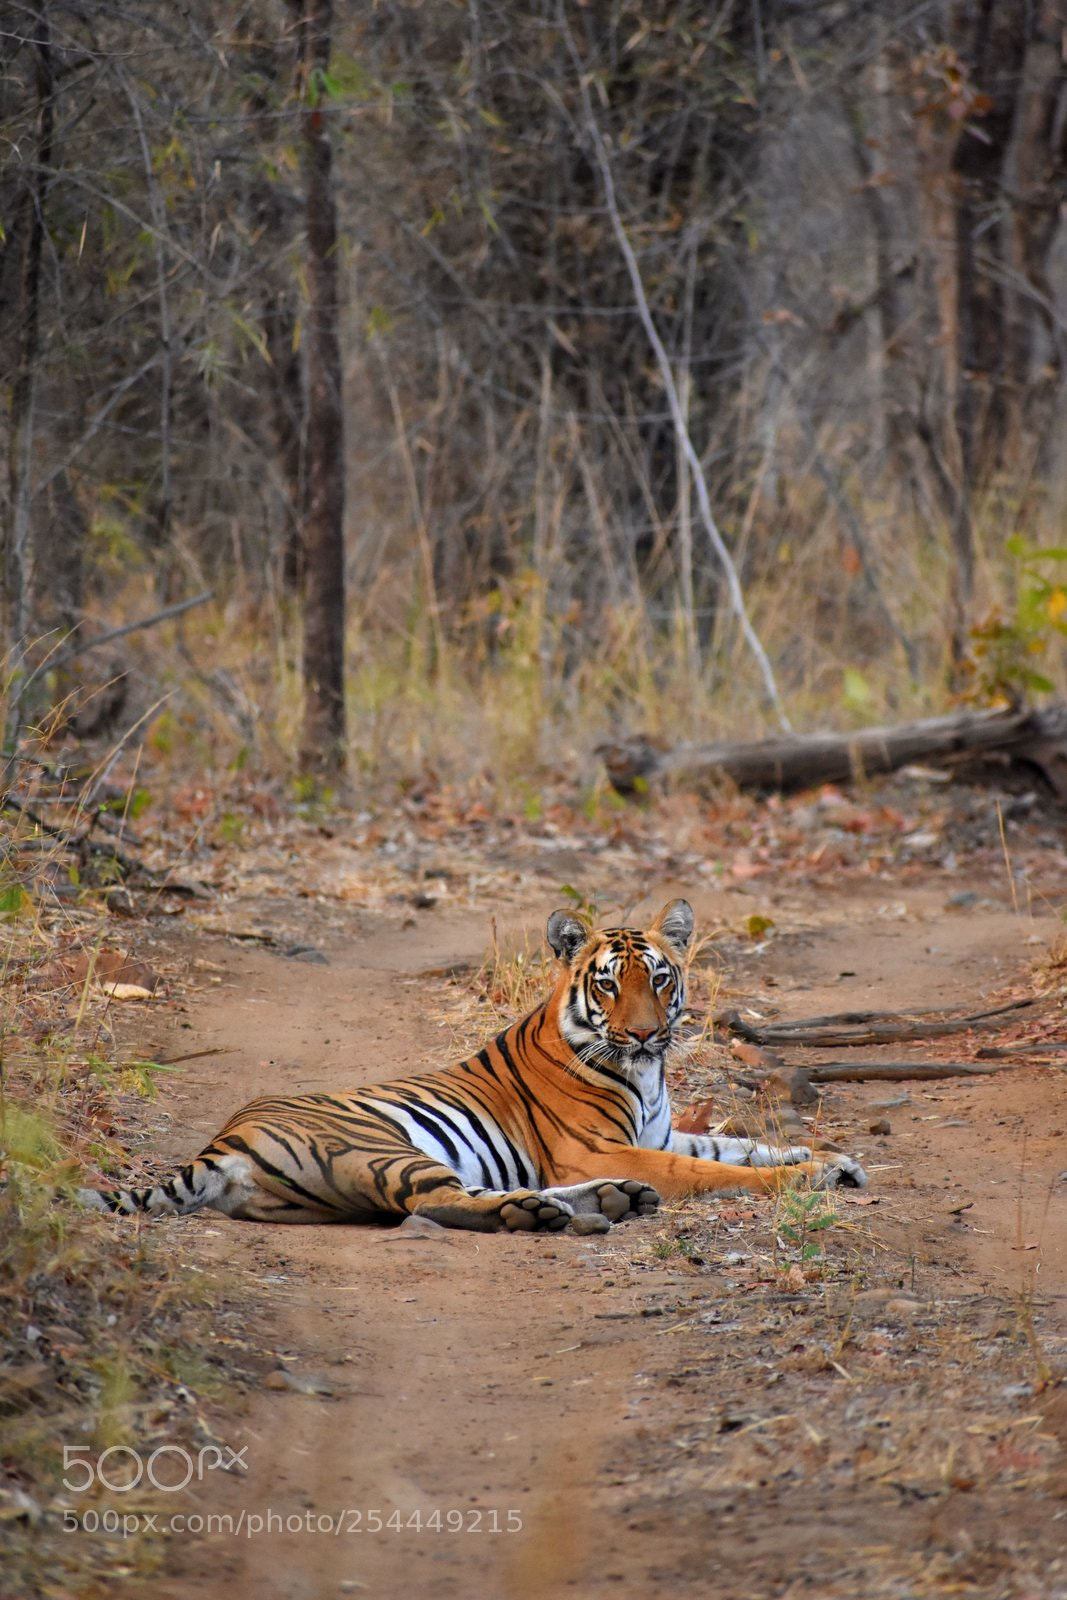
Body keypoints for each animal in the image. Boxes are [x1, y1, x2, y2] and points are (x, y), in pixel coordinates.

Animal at [78, 898, 867, 1234]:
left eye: (660, 977)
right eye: (610, 984)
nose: (645, 1034)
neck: (647, 1075)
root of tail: (221, 1142)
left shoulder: (658, 1133)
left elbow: (735, 1143)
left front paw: (829, 1157)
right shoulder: (601, 1147)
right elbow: (714, 1170)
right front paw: (801, 1178)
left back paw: (610, 1202)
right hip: (381, 1148)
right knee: (438, 1202)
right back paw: (551, 1212)